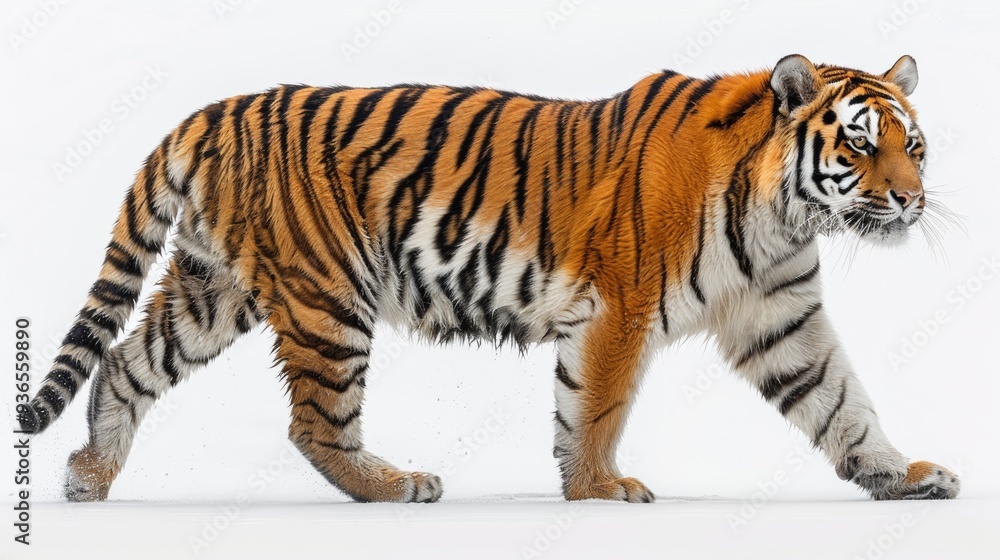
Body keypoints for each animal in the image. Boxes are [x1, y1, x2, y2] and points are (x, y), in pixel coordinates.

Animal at [18, 53, 960, 503]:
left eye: (914, 146)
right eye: (859, 145)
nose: (912, 200)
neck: (783, 217)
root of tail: (213, 112)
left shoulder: (781, 316)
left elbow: (841, 404)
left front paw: (905, 475)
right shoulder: (618, 307)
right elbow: (596, 408)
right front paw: (600, 491)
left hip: (216, 287)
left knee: (125, 363)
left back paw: (88, 478)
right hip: (329, 297)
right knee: (315, 423)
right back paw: (397, 486)